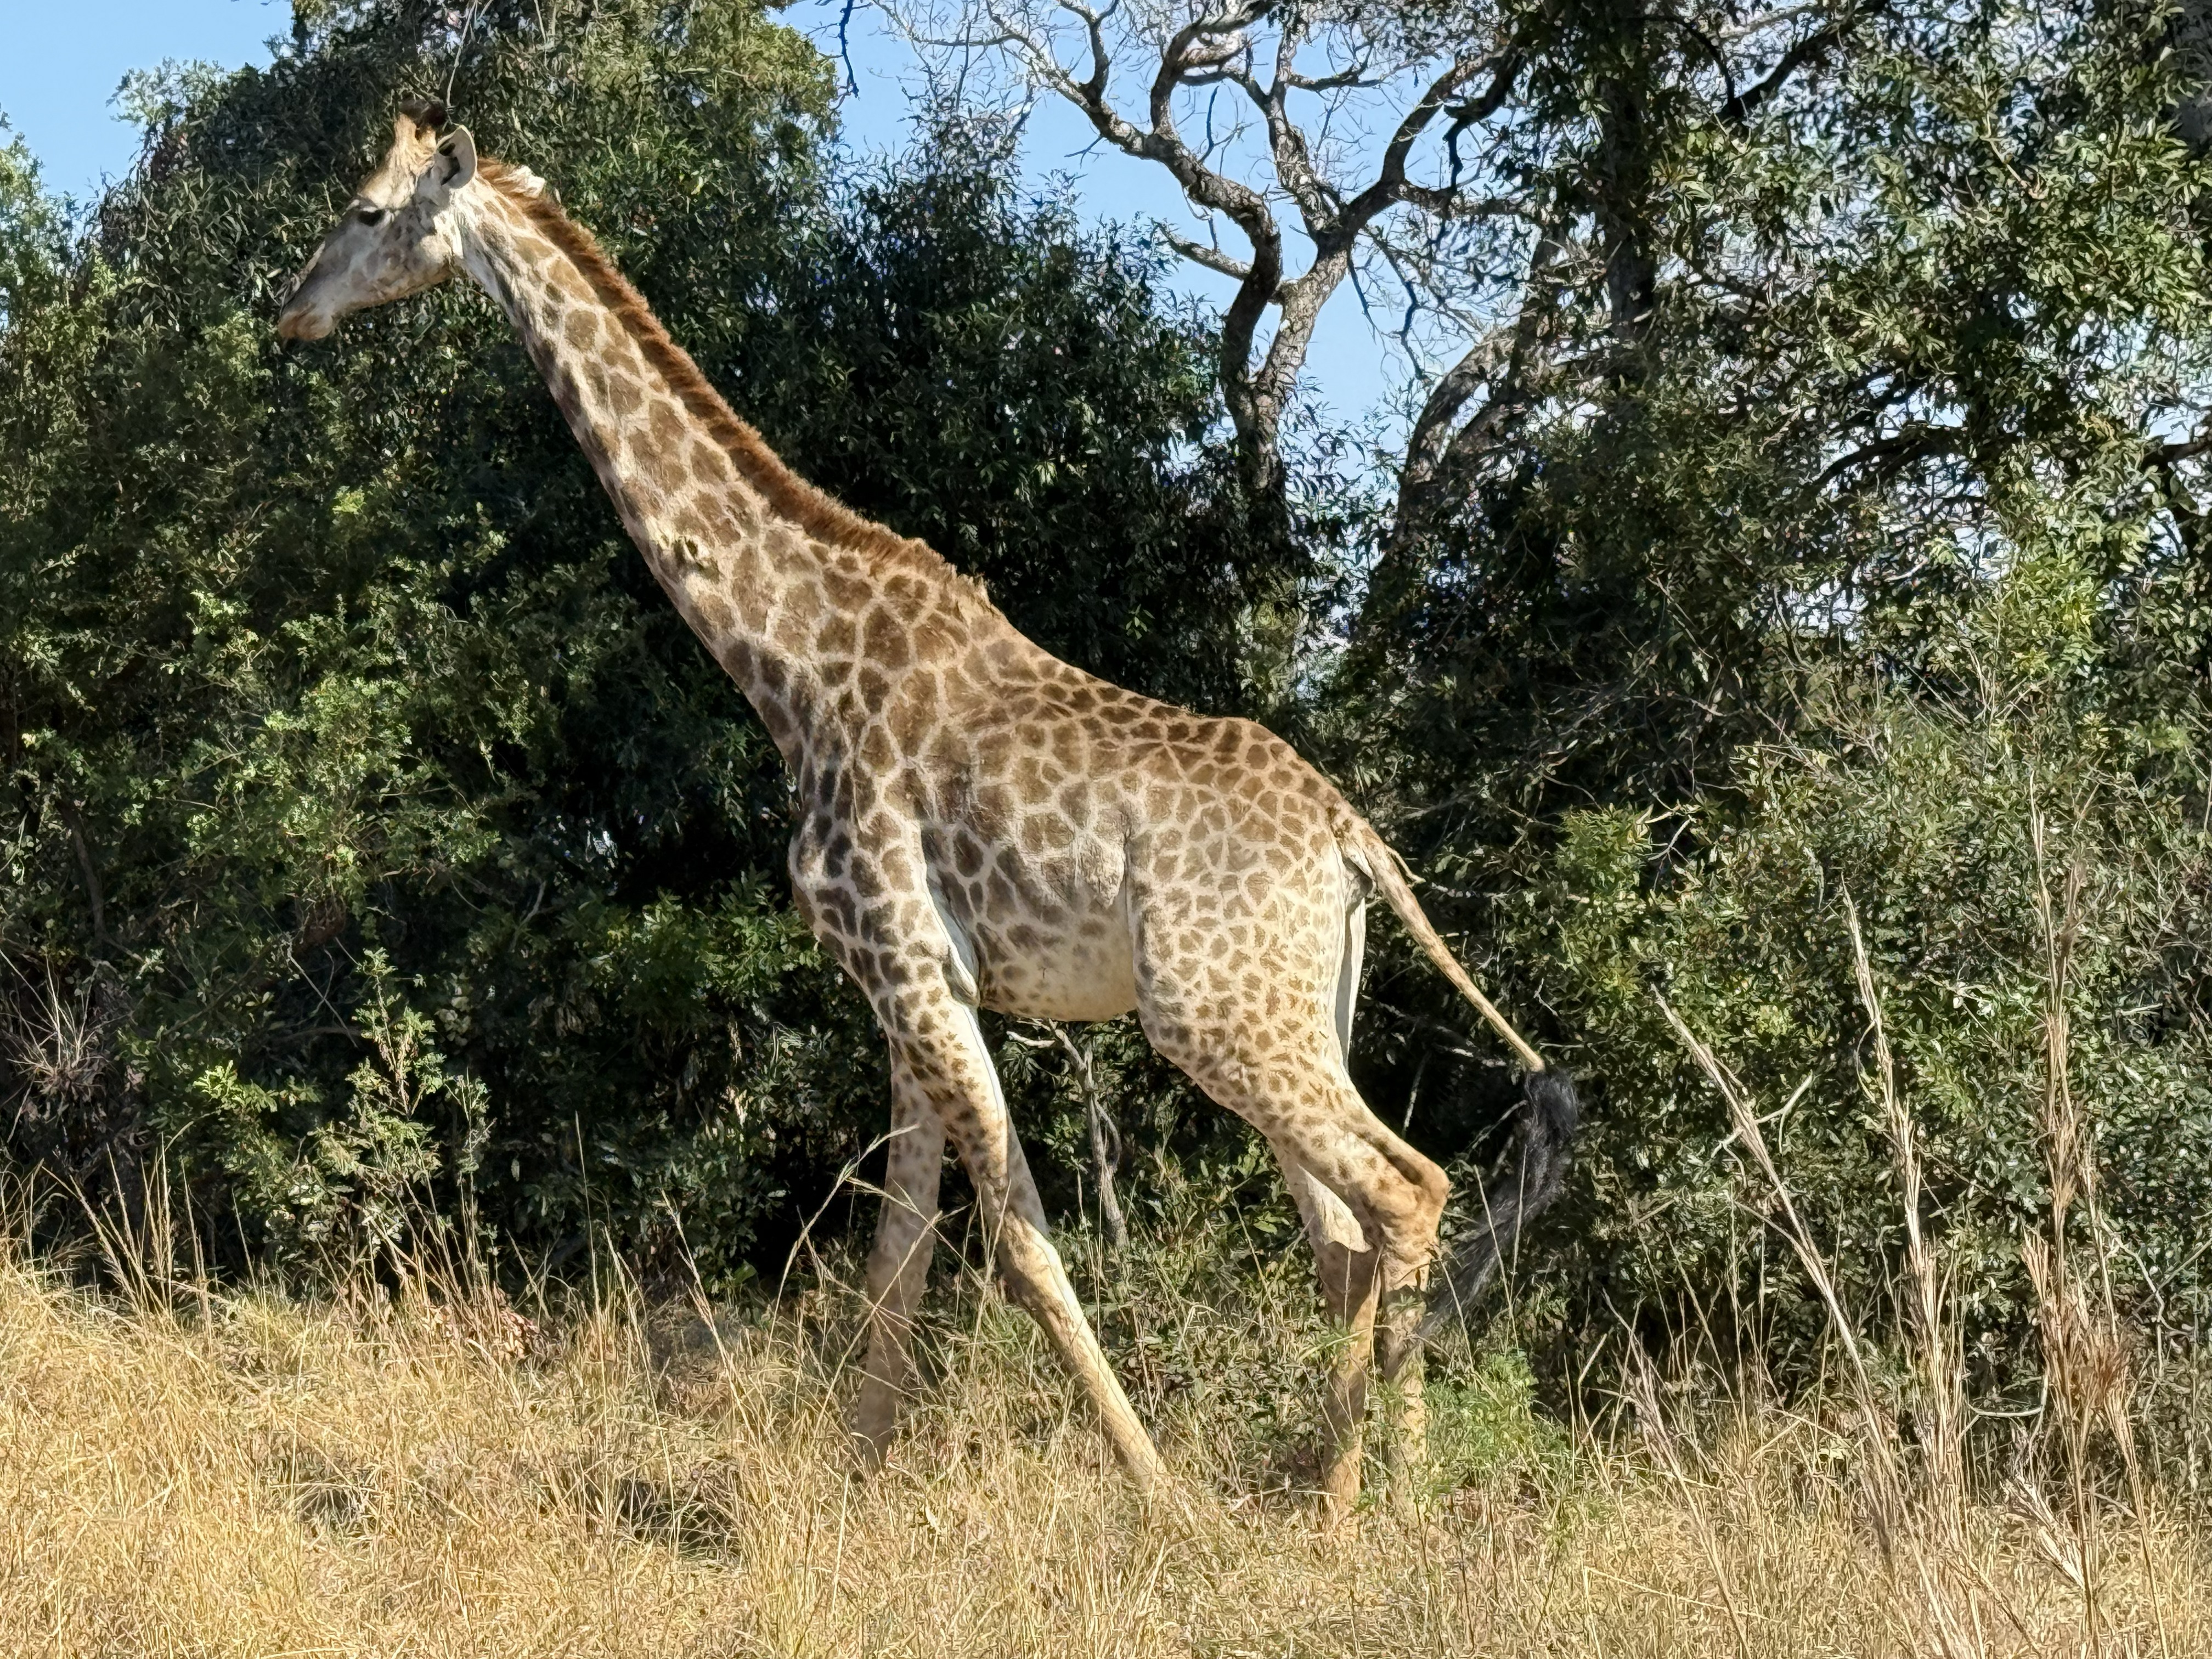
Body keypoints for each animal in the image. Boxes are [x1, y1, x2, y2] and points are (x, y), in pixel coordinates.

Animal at [275, 102, 1576, 1519]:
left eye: (362, 210)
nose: (290, 312)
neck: (786, 663)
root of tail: (1353, 842)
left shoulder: (907, 963)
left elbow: (1014, 1242)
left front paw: (1156, 1496)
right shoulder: (903, 987)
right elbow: (900, 1252)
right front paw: (851, 1481)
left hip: (1212, 1014)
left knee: (1405, 1189)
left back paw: (1356, 1506)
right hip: (1302, 1009)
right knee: (1345, 1231)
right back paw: (1374, 1497)